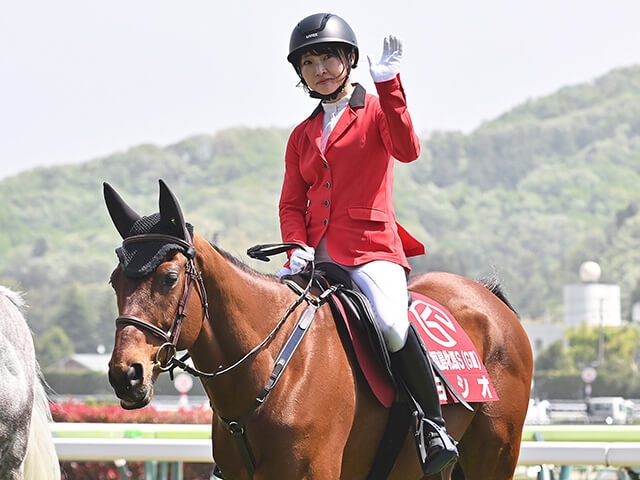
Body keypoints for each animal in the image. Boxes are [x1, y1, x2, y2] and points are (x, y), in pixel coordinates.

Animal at [105, 180, 533, 480]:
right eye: (114, 281)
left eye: (169, 278)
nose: (126, 375)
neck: (273, 364)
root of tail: (488, 296)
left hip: (494, 454)